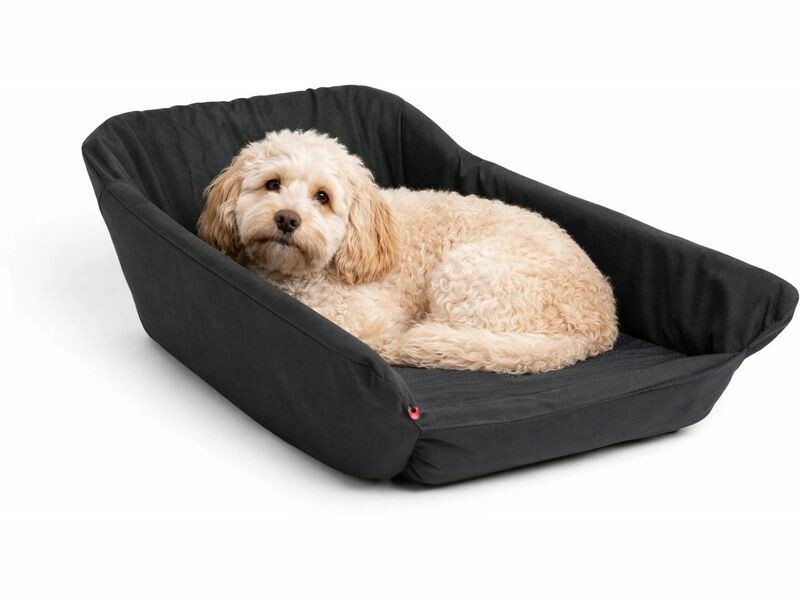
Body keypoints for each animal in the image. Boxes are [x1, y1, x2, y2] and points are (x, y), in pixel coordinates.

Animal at [197, 129, 618, 374]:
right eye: (272, 184)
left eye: (322, 197)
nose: (286, 219)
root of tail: (597, 327)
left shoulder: (363, 318)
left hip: (466, 276)